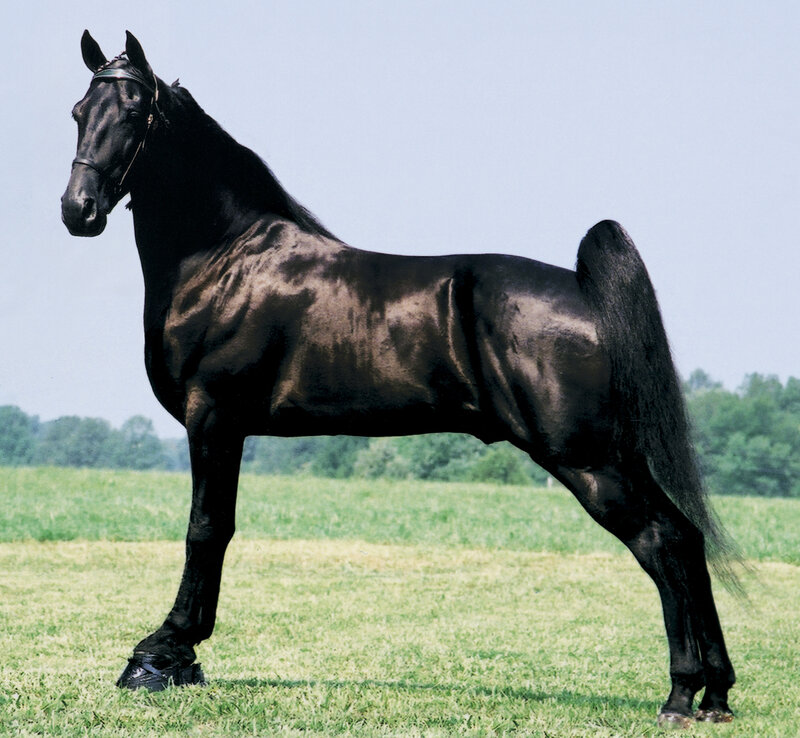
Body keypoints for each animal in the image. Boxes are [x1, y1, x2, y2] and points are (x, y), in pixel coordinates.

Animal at [61, 31, 736, 727]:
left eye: (134, 113)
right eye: (78, 113)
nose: (78, 210)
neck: (226, 260)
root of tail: (584, 291)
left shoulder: (214, 419)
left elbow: (206, 530)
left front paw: (164, 652)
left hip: (589, 460)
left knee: (660, 541)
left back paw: (681, 694)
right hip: (618, 454)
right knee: (687, 538)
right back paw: (715, 695)